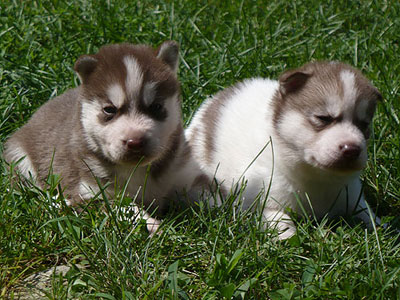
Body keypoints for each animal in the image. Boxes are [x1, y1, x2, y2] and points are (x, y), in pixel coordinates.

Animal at [3, 41, 191, 233]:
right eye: (109, 109)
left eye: (156, 107)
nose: (135, 142)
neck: (132, 170)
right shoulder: (91, 191)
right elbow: (123, 207)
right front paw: (150, 223)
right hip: (21, 161)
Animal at [188, 61, 382, 239]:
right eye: (324, 118)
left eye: (364, 124)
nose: (352, 149)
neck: (316, 177)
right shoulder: (255, 193)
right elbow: (274, 213)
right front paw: (286, 235)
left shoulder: (351, 191)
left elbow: (363, 209)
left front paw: (377, 224)